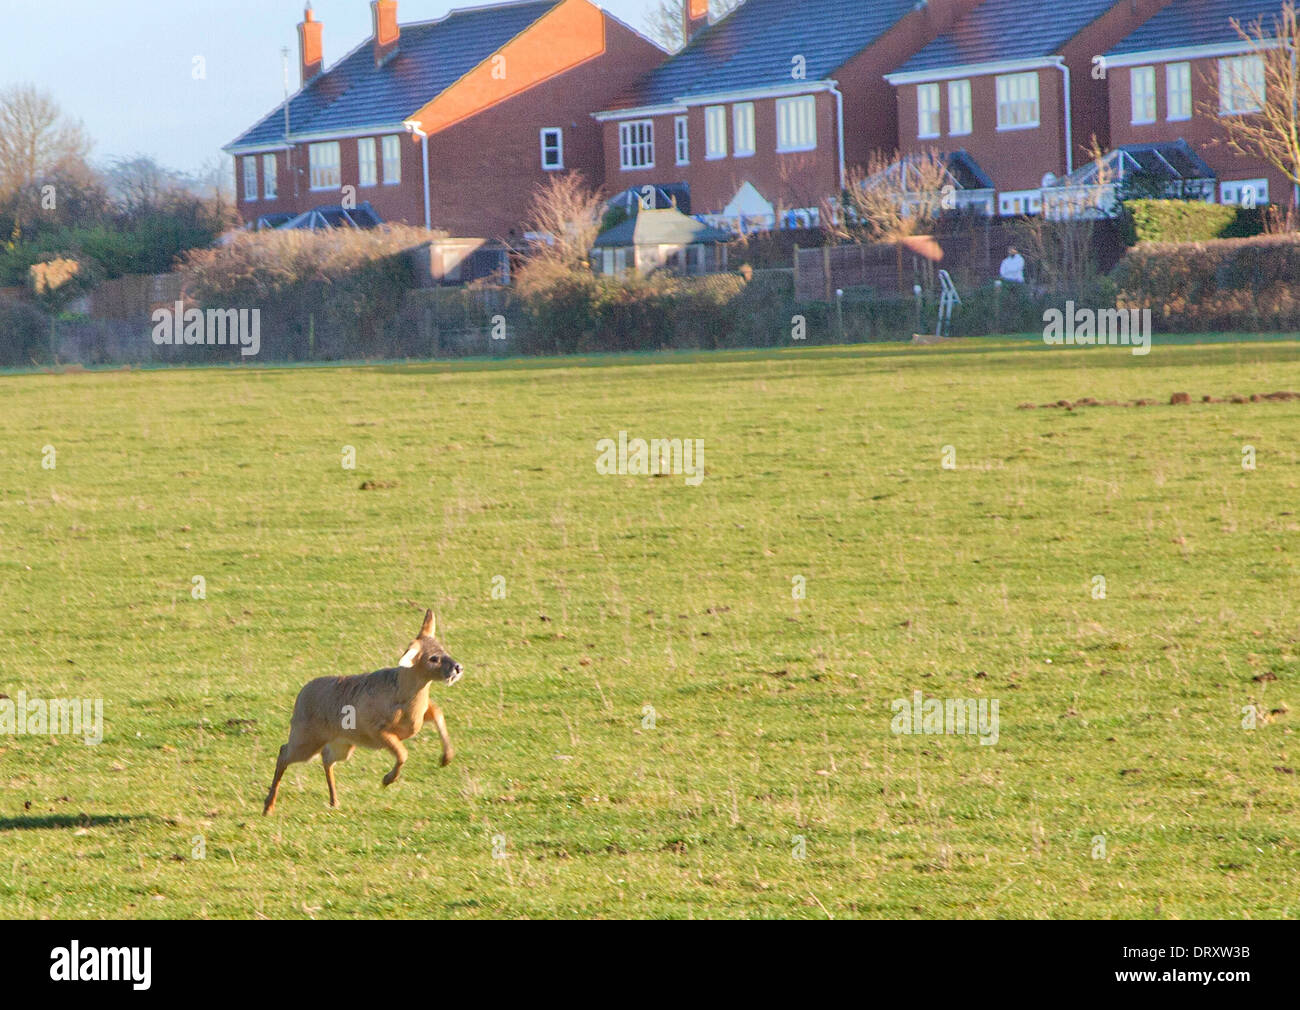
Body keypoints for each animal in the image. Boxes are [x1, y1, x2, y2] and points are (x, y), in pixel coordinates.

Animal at [262, 605, 462, 811]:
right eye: (433, 658)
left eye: (443, 650)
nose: (457, 667)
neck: (405, 701)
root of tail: (300, 696)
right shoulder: (376, 730)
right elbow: (402, 753)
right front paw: (387, 779)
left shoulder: (421, 715)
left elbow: (438, 713)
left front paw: (446, 758)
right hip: (306, 738)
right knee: (284, 752)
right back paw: (268, 806)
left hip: (342, 744)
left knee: (326, 757)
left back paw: (334, 801)